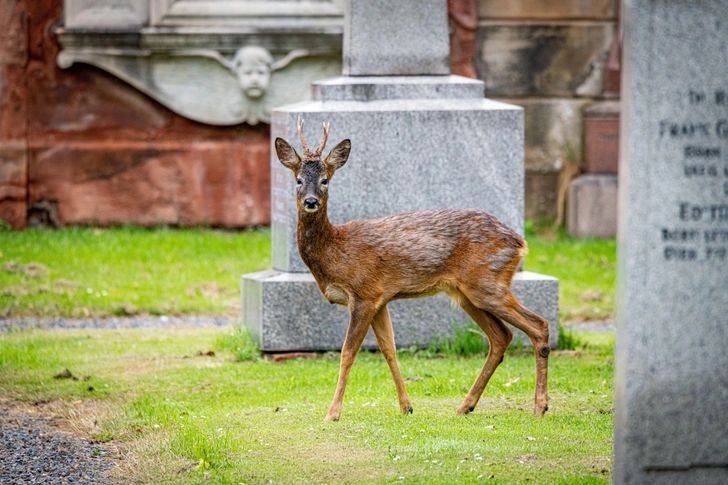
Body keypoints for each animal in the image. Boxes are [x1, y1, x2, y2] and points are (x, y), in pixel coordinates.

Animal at [276, 117, 548, 420]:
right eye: (298, 180)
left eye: (325, 180)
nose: (311, 201)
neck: (335, 251)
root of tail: (520, 242)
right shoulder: (380, 299)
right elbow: (389, 349)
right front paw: (406, 406)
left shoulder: (364, 294)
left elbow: (348, 353)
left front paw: (332, 414)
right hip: (468, 293)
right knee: (501, 336)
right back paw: (466, 406)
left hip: (487, 282)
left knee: (538, 325)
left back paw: (540, 406)